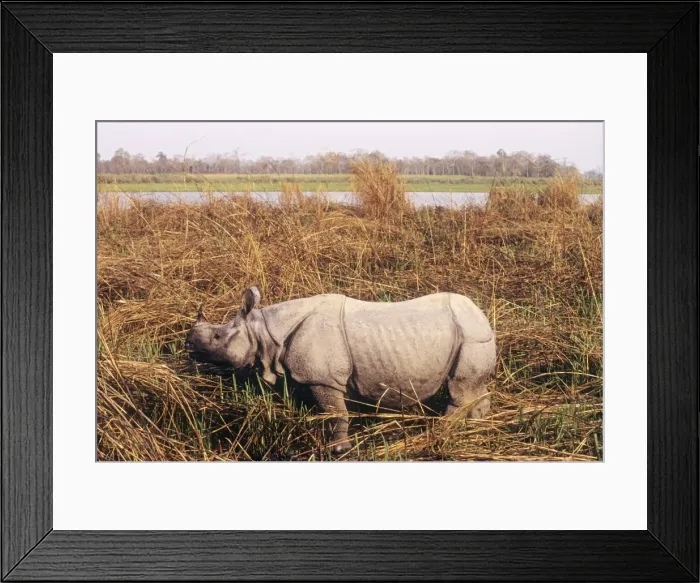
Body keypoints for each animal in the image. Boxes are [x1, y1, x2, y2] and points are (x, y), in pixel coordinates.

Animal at [185, 286, 496, 454]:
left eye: (217, 338)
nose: (188, 344)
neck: (266, 330)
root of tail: (483, 316)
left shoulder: (324, 379)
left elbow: (336, 413)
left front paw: (337, 449)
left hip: (471, 336)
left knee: (459, 389)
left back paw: (439, 434)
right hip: (473, 336)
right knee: (474, 388)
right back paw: (477, 427)